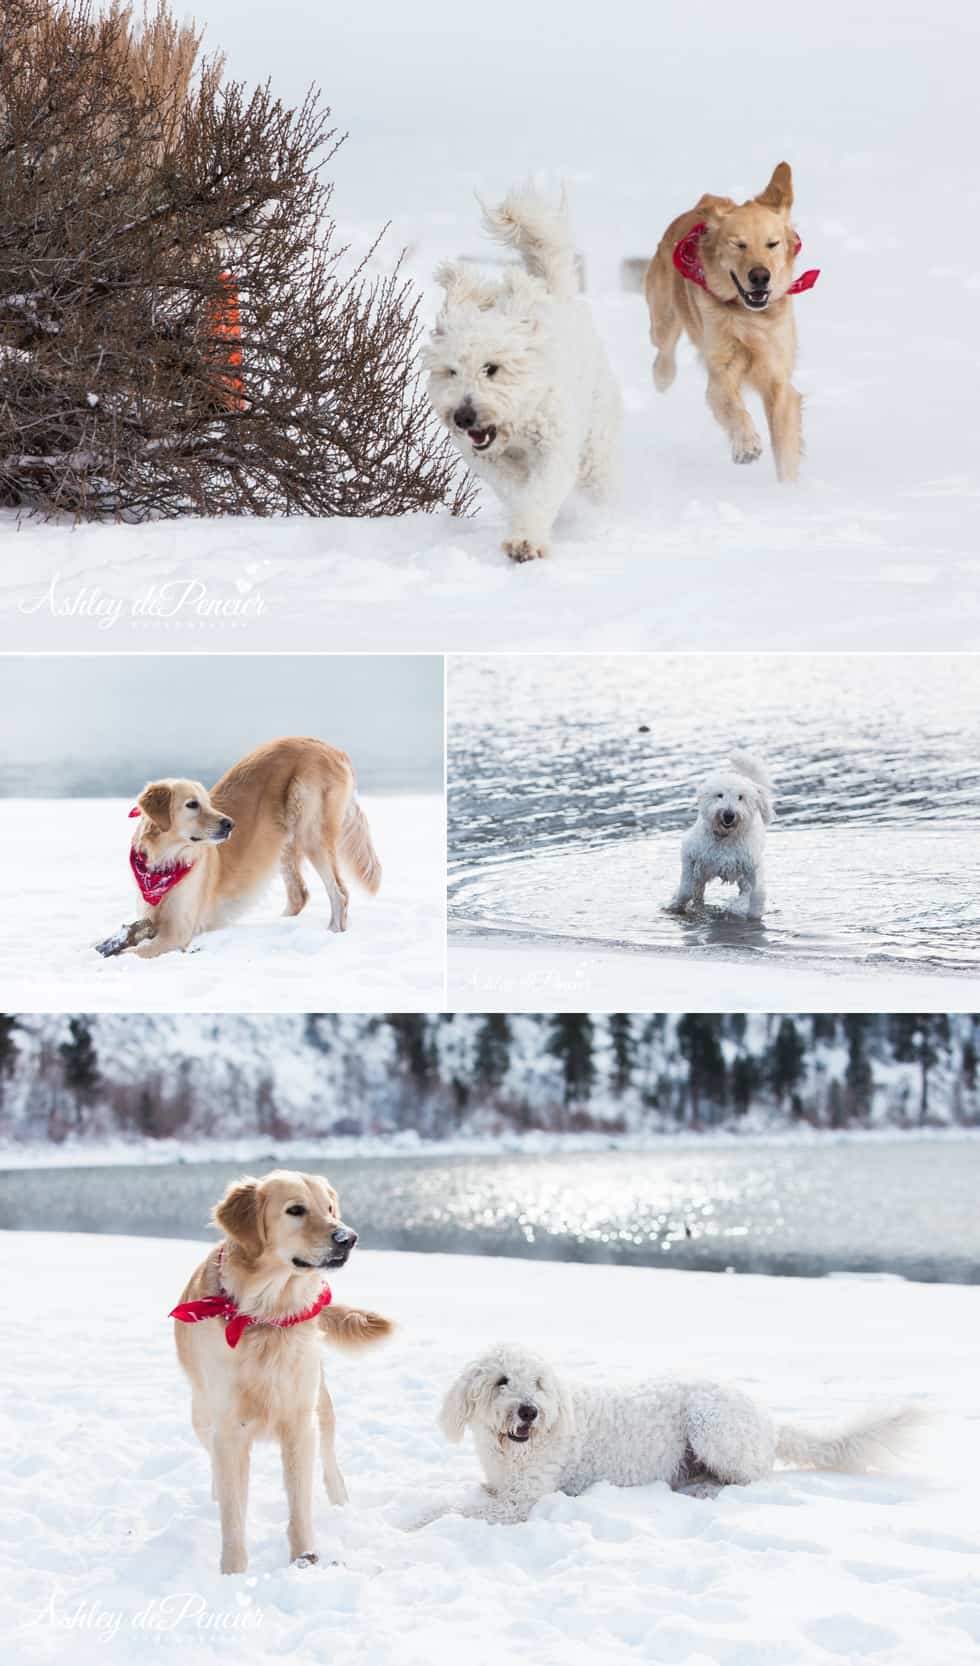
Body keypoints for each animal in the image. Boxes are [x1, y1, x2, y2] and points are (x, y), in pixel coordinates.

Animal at [425, 180, 623, 559]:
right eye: (451, 371)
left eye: (491, 368)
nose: (463, 417)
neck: (516, 422)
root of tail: (555, 294)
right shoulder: (486, 460)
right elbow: (517, 492)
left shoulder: (556, 447)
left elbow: (540, 493)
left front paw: (526, 542)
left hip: (595, 447)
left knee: (599, 484)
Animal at [436, 1339, 926, 1526]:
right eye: (502, 1381)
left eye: (538, 1382)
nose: (530, 1411)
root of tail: (767, 1420)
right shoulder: (501, 1490)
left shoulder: (521, 1502)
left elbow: (447, 1511)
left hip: (710, 1422)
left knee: (750, 1479)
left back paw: (706, 1491)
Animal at [666, 749, 773, 919]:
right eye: (720, 795)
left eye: (740, 797)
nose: (729, 815)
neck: (725, 838)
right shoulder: (689, 853)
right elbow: (686, 888)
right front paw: (676, 905)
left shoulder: (751, 864)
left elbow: (758, 892)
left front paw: (752, 913)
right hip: (703, 870)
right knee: (698, 887)